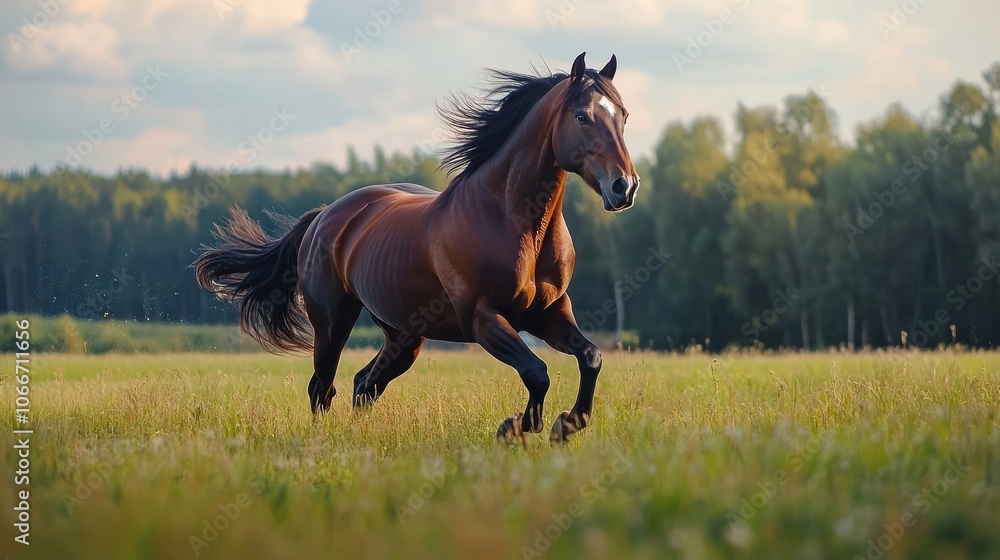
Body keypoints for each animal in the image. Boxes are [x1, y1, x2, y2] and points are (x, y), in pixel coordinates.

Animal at [194, 52, 640, 444]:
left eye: (623, 116)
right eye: (582, 116)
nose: (625, 187)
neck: (518, 223)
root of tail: (323, 216)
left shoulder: (549, 313)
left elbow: (591, 358)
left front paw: (566, 424)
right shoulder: (483, 319)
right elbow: (537, 372)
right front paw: (516, 427)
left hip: (404, 335)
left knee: (364, 384)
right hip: (332, 322)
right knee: (323, 388)